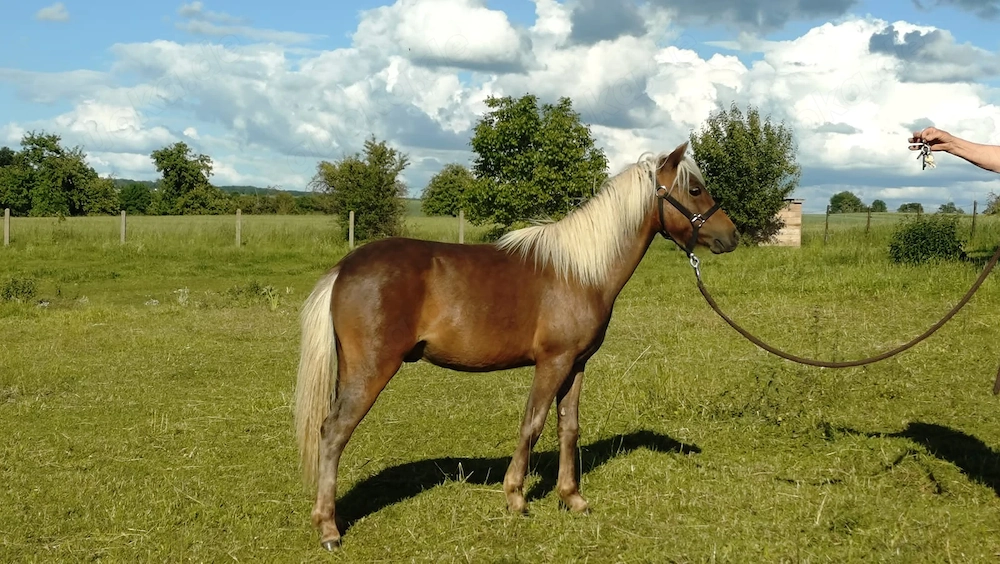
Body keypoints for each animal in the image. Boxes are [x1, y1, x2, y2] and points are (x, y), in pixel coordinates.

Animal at [293, 141, 740, 550]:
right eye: (695, 189)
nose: (732, 235)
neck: (580, 271)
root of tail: (345, 267)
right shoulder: (552, 362)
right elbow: (533, 423)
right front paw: (516, 498)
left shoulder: (576, 365)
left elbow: (568, 427)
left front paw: (572, 498)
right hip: (372, 369)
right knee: (334, 432)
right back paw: (329, 529)